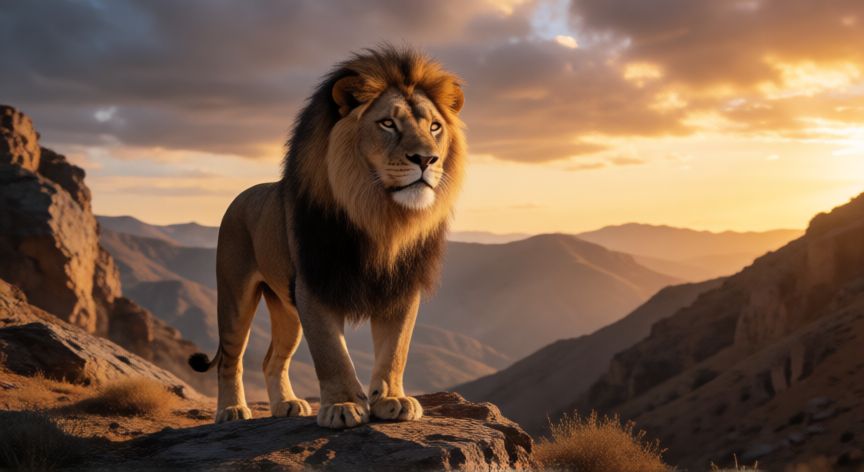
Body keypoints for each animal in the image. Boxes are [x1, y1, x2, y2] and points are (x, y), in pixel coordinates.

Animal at [188, 45, 466, 429]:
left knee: (272, 359)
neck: (381, 217)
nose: (427, 159)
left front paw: (391, 399)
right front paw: (343, 405)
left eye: (435, 127)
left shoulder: (401, 286)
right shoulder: (315, 283)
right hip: (235, 296)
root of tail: (242, 195)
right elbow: (331, 352)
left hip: (285, 308)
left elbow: (396, 349)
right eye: (388, 123)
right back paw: (230, 411)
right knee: (231, 359)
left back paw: (286, 404)